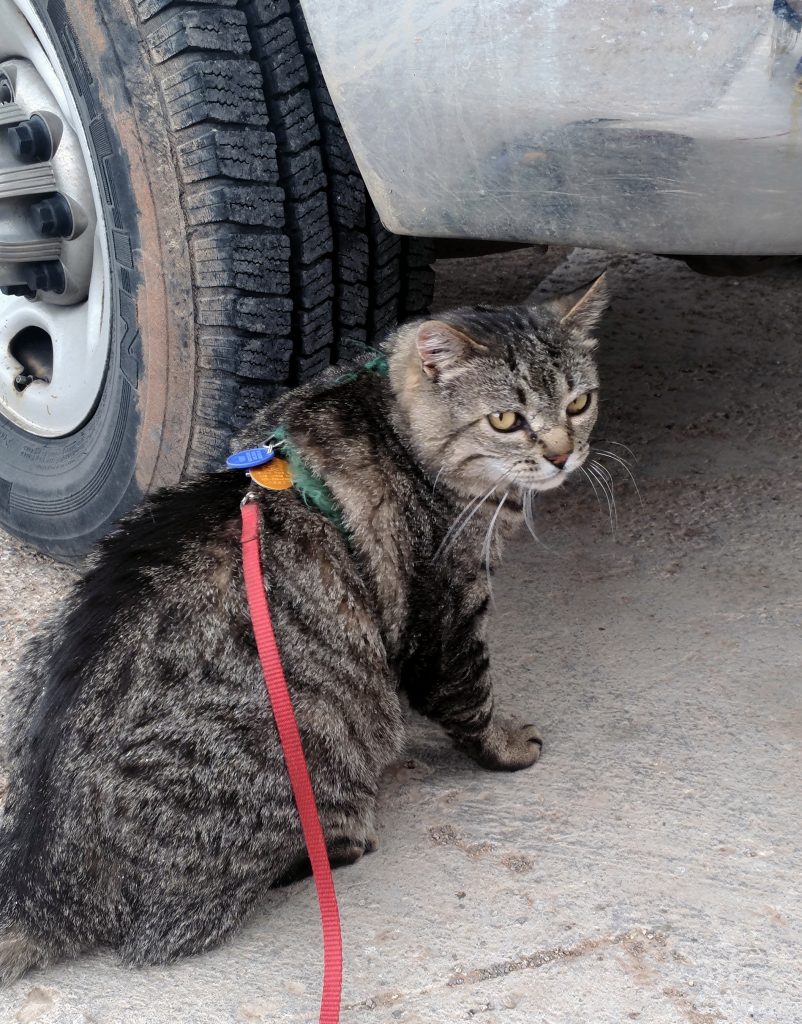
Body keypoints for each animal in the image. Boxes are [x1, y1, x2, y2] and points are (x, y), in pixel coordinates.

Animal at [0, 276, 606, 978]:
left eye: (580, 402)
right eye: (506, 419)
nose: (563, 456)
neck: (388, 415)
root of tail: (40, 879)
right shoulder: (446, 611)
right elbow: (468, 694)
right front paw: (506, 745)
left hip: (35, 657)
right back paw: (338, 839)